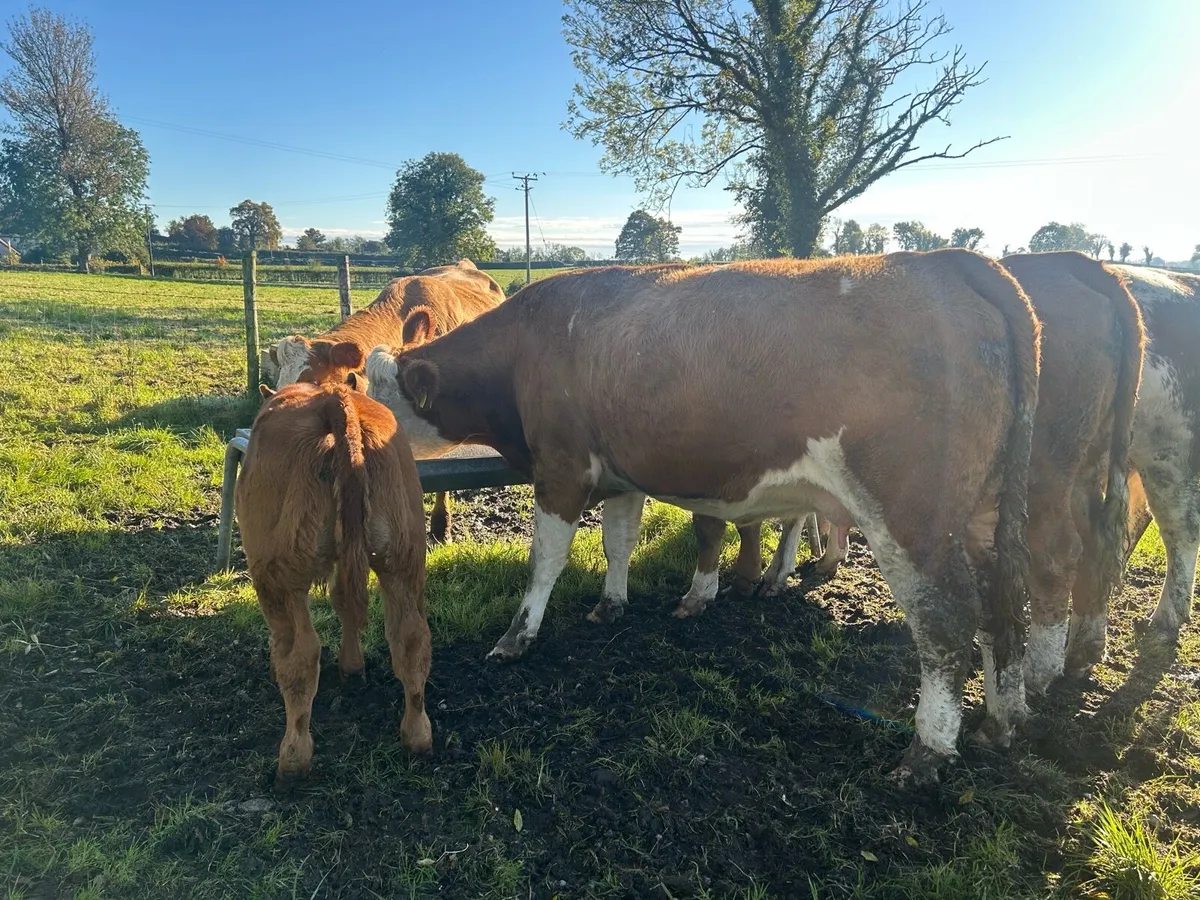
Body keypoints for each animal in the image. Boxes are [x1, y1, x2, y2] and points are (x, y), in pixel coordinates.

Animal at [234, 373, 432, 785]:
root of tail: (332, 399)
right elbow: (345, 604)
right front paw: (352, 666)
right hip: (404, 559)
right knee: (411, 639)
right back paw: (418, 736)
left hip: (280, 576)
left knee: (300, 654)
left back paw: (293, 758)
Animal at [364, 251, 1041, 783]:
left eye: (381, 403)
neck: (529, 344)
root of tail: (952, 261)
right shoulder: (619, 474)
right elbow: (618, 542)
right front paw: (611, 603)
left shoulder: (561, 468)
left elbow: (546, 560)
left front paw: (517, 636)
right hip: (985, 518)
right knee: (1003, 610)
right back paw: (1001, 722)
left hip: (912, 519)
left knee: (948, 623)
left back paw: (927, 750)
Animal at [697, 252, 1144, 696]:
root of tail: (1075, 262)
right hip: (1086, 467)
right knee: (1096, 547)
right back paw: (1080, 654)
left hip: (1045, 475)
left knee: (1056, 556)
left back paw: (1037, 675)